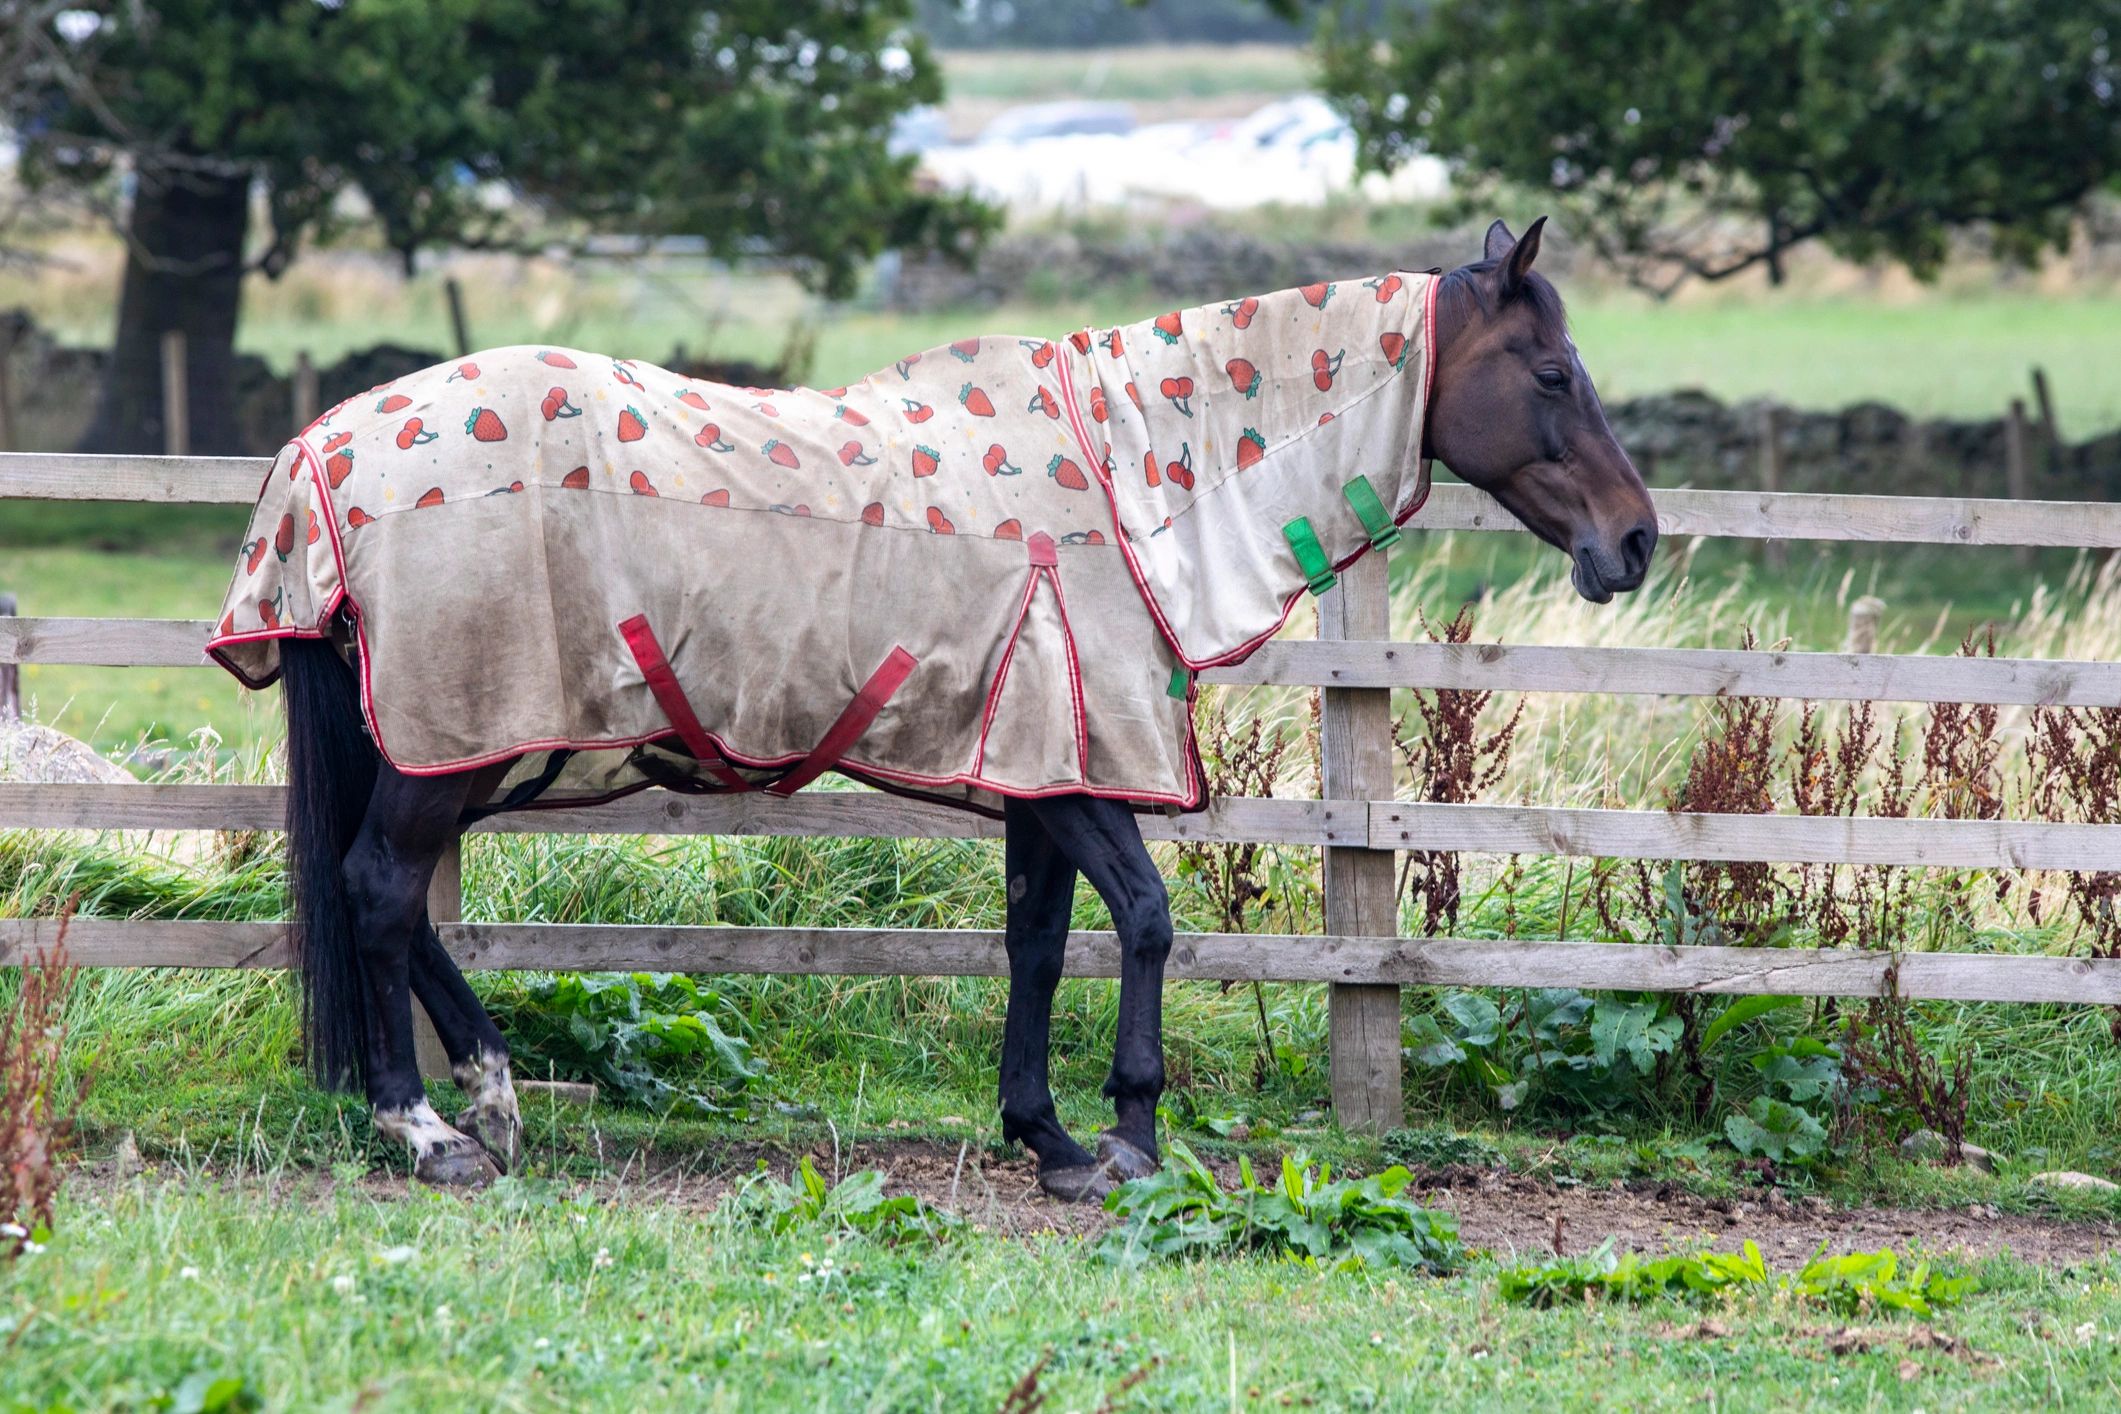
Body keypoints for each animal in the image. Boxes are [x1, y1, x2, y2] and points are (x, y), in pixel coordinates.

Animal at [209, 216, 1655, 1196]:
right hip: (454, 741)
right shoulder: (1081, 769)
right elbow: (1145, 922)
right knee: (380, 891)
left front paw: (1049, 1134)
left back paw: (495, 1098)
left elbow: (1037, 941)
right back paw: (429, 1129)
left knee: (392, 900)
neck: (1123, 480)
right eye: (1550, 373)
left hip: (476, 744)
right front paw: (1130, 1134)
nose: (1634, 541)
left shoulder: (1041, 774)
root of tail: (323, 446)